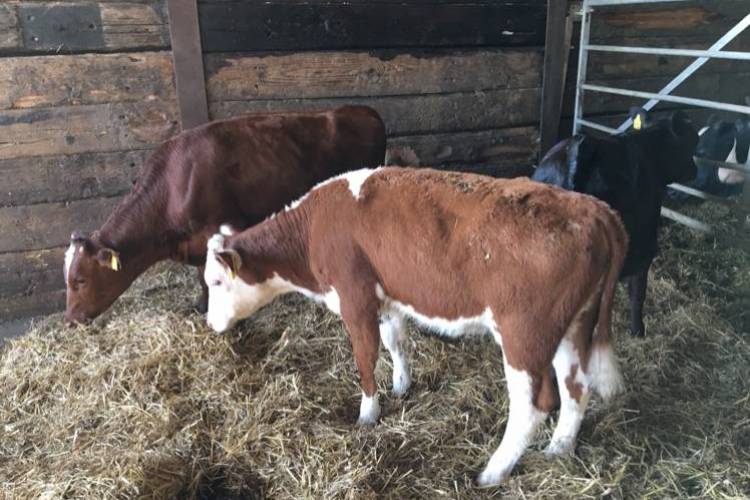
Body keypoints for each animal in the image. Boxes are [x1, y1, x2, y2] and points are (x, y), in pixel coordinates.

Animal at [63, 106, 386, 324]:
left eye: (79, 280)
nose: (70, 319)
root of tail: (362, 110)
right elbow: (201, 276)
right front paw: (203, 305)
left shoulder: (224, 226)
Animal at [203, 167, 628, 486]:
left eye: (217, 281)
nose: (210, 323)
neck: (313, 230)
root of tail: (594, 209)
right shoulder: (388, 297)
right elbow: (395, 341)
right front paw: (401, 385)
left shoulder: (355, 299)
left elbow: (365, 357)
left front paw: (368, 414)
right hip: (575, 324)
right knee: (576, 386)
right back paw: (559, 448)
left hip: (525, 335)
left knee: (533, 404)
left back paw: (493, 471)